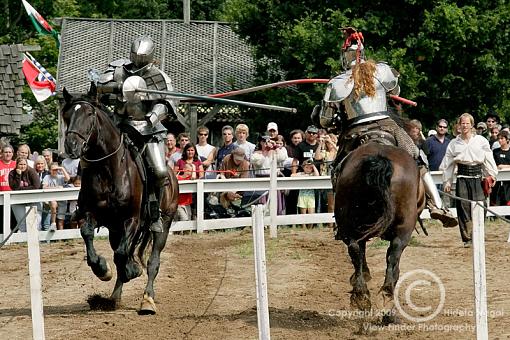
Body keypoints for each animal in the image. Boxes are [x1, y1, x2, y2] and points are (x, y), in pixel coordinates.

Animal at [61, 89, 178, 314]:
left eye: (90, 114)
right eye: (67, 115)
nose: (71, 146)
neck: (107, 169)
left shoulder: (131, 220)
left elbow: (122, 254)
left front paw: (131, 271)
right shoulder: (92, 215)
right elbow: (89, 237)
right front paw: (102, 269)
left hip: (163, 224)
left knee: (152, 261)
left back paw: (147, 299)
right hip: (115, 231)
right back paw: (114, 297)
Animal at [334, 140, 422, 318]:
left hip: (352, 225)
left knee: (357, 249)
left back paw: (366, 295)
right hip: (403, 229)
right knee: (392, 254)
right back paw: (381, 296)